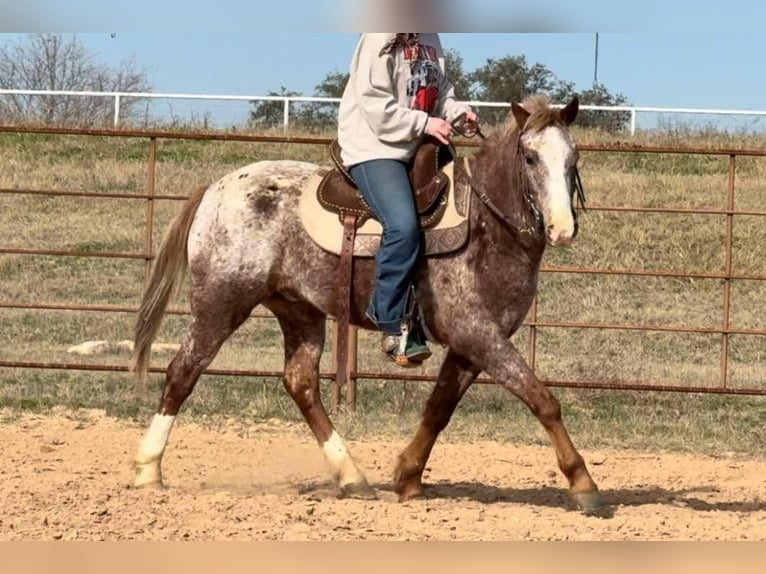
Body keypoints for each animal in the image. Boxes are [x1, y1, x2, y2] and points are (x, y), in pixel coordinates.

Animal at [130, 94, 604, 513]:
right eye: (530, 158)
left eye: (574, 157)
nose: (562, 228)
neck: (487, 224)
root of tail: (215, 189)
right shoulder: (475, 331)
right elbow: (541, 398)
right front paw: (583, 483)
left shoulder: (475, 341)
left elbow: (439, 407)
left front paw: (408, 477)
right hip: (221, 303)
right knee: (183, 371)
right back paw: (148, 470)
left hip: (299, 311)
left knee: (301, 384)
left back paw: (352, 478)